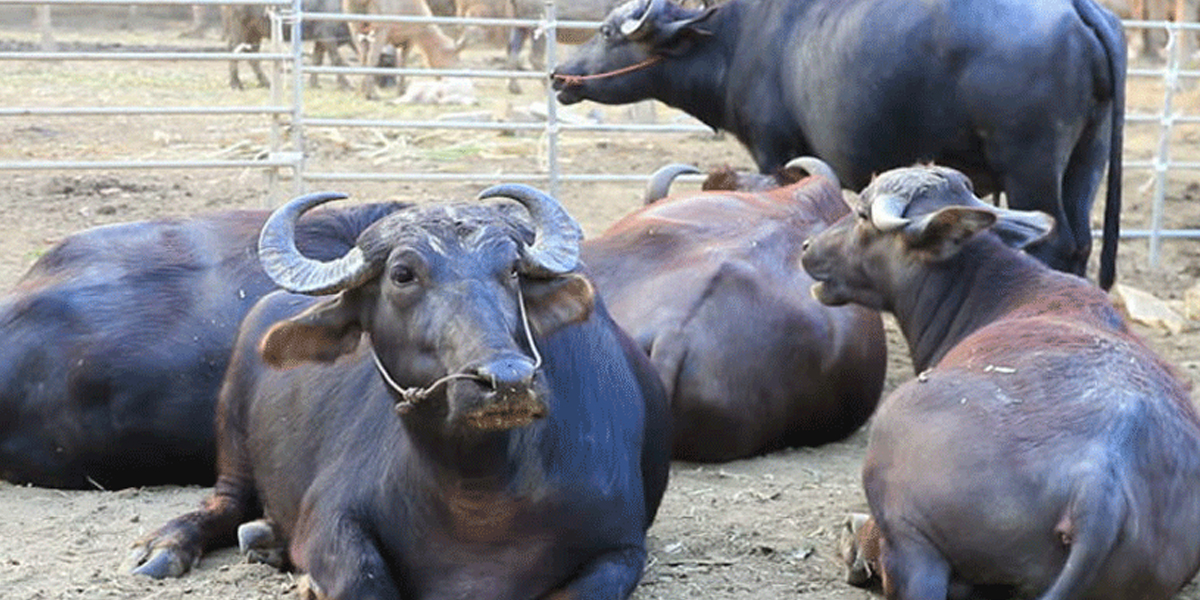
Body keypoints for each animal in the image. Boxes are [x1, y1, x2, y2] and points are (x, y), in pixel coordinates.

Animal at [125, 187, 672, 600]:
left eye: (513, 270)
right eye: (403, 274)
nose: (508, 380)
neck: (481, 492)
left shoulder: (622, 548)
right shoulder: (332, 519)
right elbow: (363, 579)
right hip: (233, 435)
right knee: (225, 502)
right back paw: (168, 547)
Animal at [556, 0, 1128, 290]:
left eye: (607, 32)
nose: (560, 74)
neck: (734, 40)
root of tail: (1079, 12)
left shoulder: (774, 147)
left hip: (1031, 165)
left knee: (1053, 238)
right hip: (1087, 157)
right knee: (1080, 241)